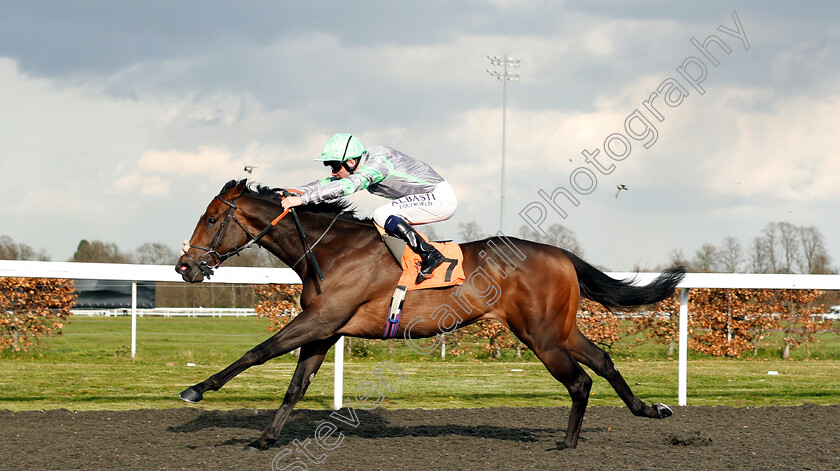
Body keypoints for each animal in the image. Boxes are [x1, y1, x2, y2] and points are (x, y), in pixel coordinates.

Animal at [176, 179, 684, 452]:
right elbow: (295, 387)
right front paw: (264, 438)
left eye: (211, 219)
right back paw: (648, 409)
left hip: (540, 335)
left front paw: (196, 389)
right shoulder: (325, 329)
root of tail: (561, 254)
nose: (184, 267)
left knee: (580, 381)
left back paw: (568, 443)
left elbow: (257, 352)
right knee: (603, 361)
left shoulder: (320, 321)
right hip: (556, 329)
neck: (332, 250)